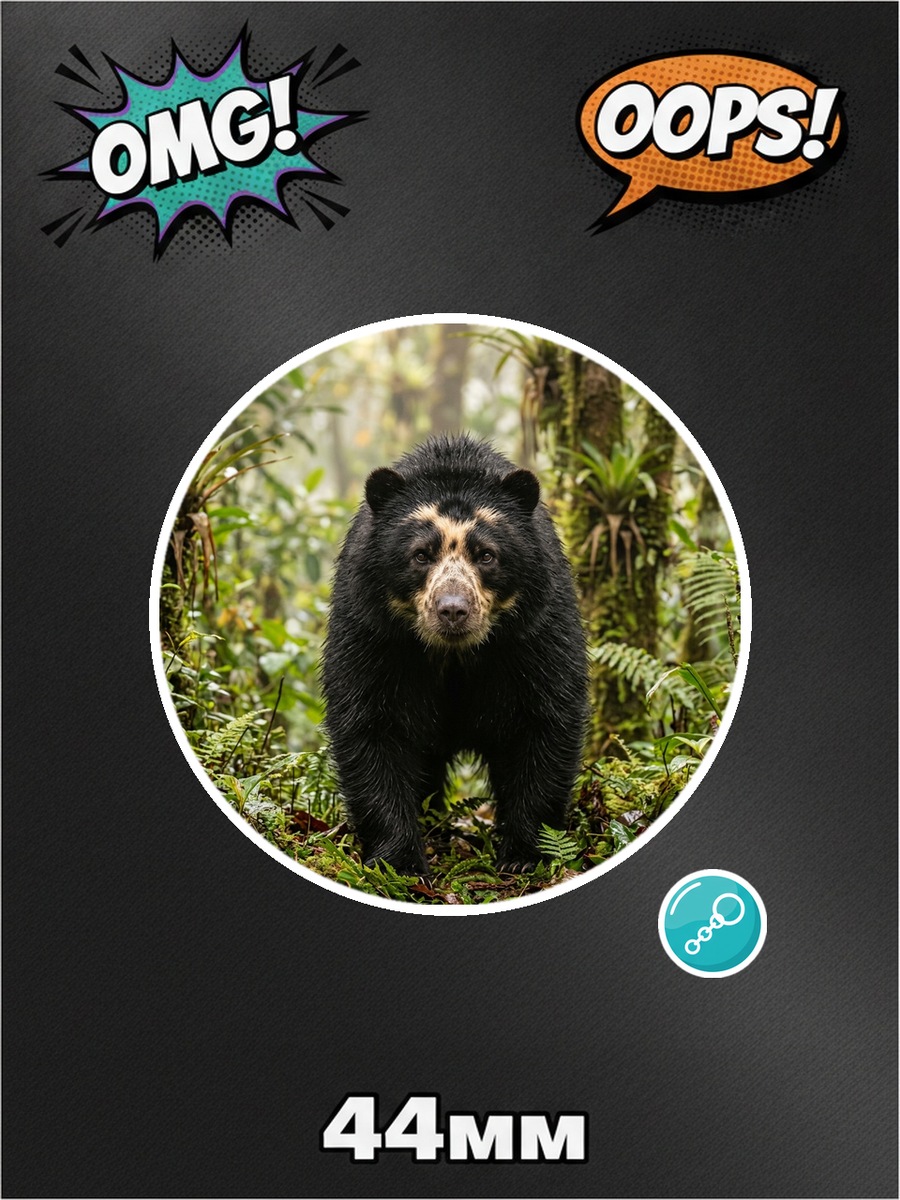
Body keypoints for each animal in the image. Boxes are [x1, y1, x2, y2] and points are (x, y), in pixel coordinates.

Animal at [321, 433, 588, 877]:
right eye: (420, 555)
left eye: (486, 555)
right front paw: (401, 863)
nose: (452, 610)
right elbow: (371, 724)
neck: (454, 653)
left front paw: (524, 856)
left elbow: (543, 720)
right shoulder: (373, 632)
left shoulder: (535, 631)